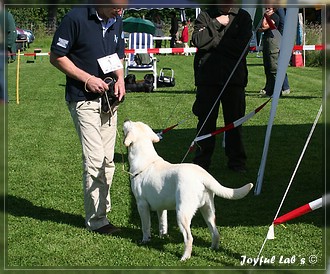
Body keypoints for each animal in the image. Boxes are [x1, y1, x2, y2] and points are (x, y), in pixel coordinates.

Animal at [122, 120, 254, 262]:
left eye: (130, 123)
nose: (125, 119)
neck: (145, 157)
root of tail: (202, 175)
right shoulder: (161, 207)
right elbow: (163, 223)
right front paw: (162, 236)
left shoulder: (141, 204)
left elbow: (145, 226)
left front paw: (145, 240)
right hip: (208, 210)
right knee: (215, 232)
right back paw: (213, 248)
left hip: (182, 213)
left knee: (189, 238)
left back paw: (185, 257)